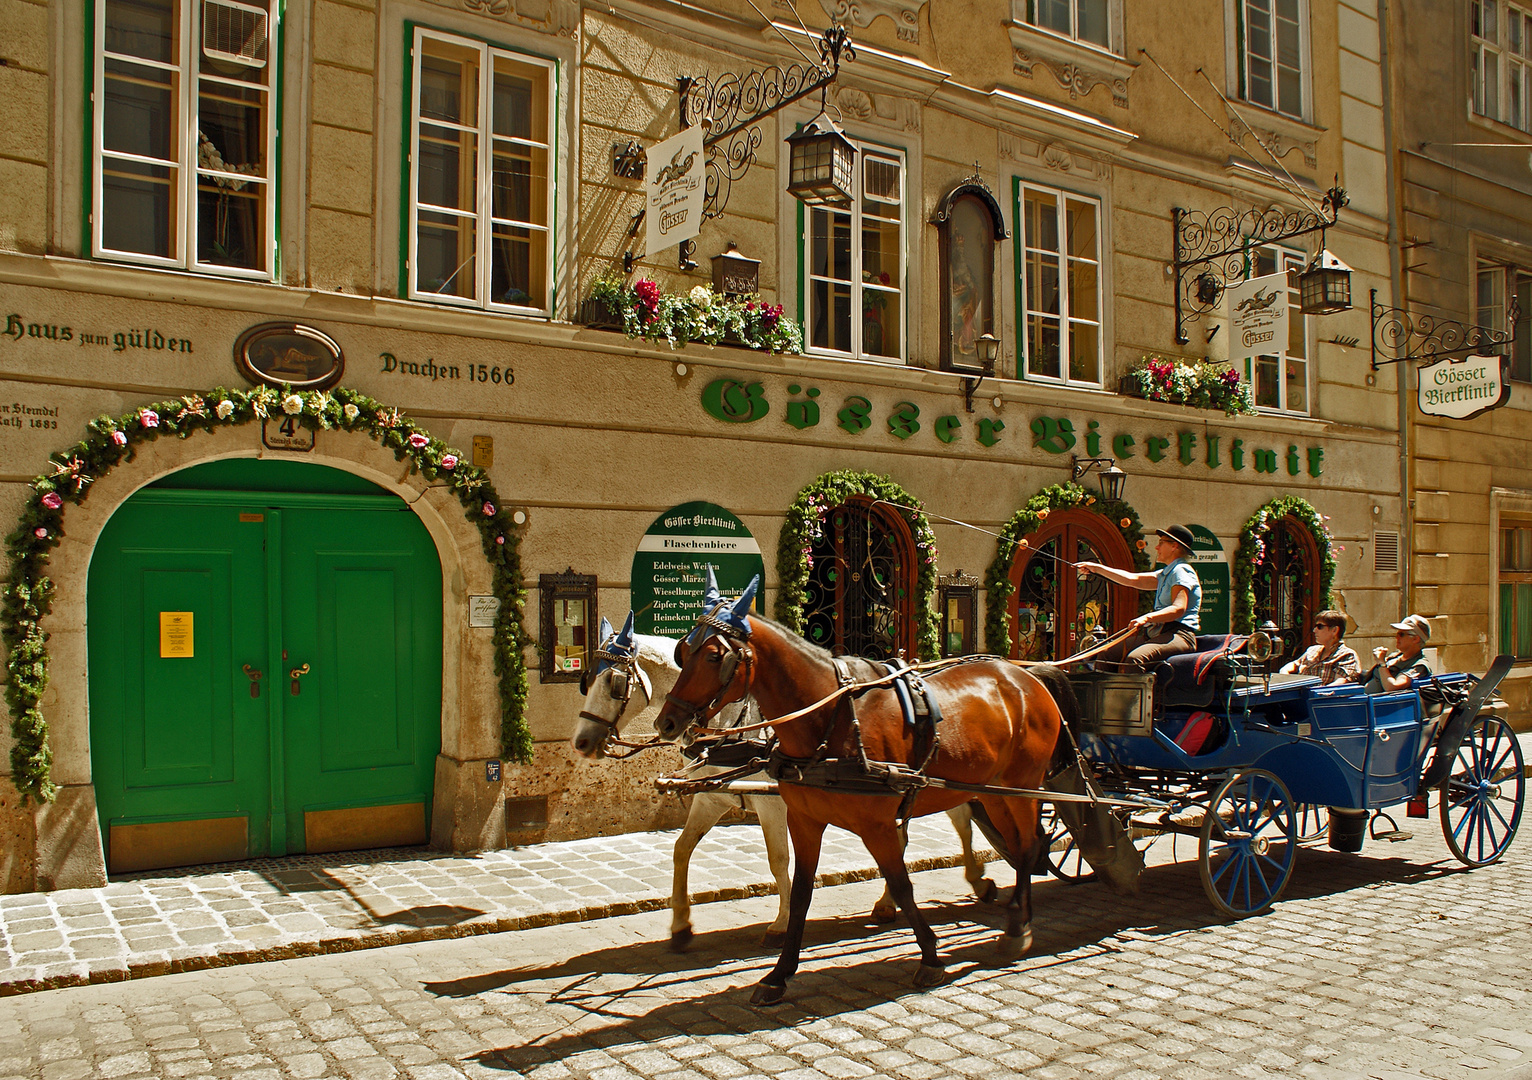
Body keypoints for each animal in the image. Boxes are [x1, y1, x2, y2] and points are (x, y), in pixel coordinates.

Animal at [566, 609, 992, 949]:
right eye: (586, 679)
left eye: (613, 683)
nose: (582, 742)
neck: (732, 724)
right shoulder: (713, 797)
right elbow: (682, 849)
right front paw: (681, 924)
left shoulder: (771, 805)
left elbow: (779, 860)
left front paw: (782, 922)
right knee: (919, 832)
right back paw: (896, 901)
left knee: (959, 820)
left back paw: (974, 878)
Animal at [655, 588, 1066, 1004]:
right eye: (682, 651)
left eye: (713, 656)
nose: (666, 722)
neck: (830, 718)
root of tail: (1026, 673)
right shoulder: (803, 819)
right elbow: (800, 890)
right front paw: (778, 973)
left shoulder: (873, 824)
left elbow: (901, 882)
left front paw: (930, 957)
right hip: (993, 790)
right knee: (1012, 841)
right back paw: (1013, 909)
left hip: (1022, 785)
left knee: (1028, 844)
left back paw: (1016, 927)